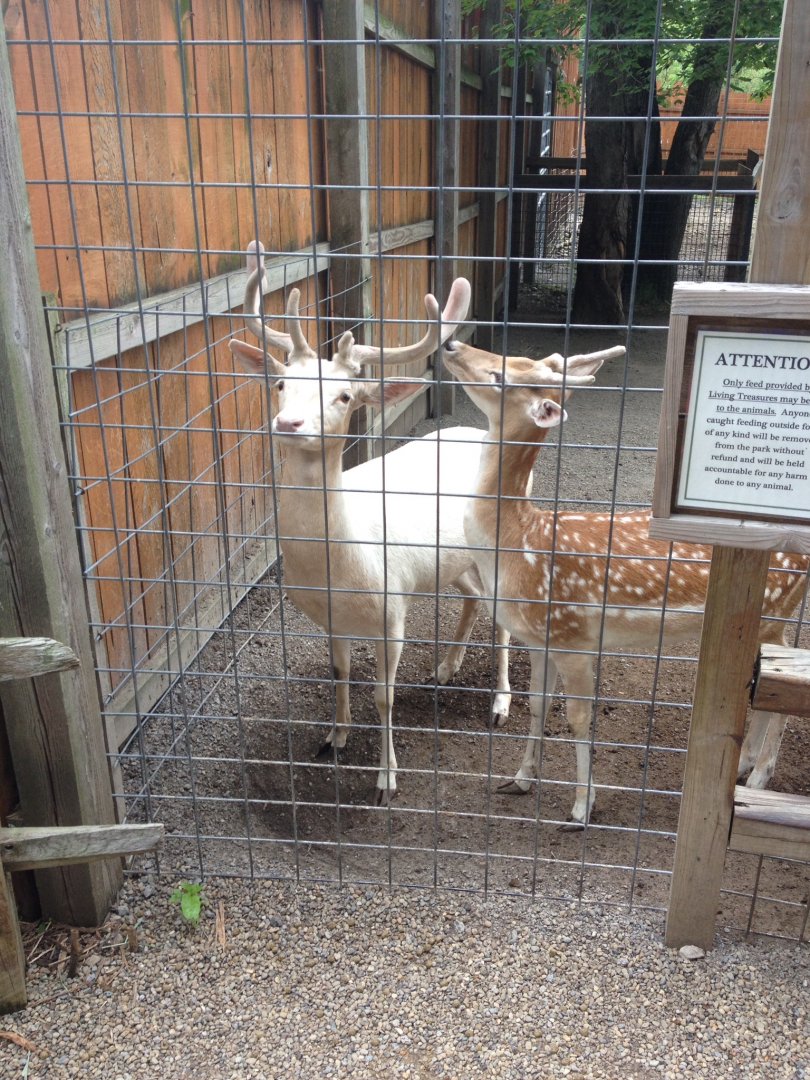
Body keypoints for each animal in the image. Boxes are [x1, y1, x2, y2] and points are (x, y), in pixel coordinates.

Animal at [228, 244, 515, 805]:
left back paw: (500, 703)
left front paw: (386, 780)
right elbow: (339, 672)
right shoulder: (328, 617)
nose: (288, 423)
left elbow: (383, 697)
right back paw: (445, 668)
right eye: (281, 383)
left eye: (343, 396)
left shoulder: (392, 611)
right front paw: (333, 737)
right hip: (454, 560)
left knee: (508, 617)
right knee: (473, 595)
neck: (341, 569)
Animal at [441, 338, 809, 826]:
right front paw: (518, 779)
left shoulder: (573, 636)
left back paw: (760, 777)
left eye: (503, 375)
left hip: (774, 608)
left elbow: (578, 717)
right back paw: (747, 765)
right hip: (773, 617)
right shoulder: (538, 639)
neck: (518, 543)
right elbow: (536, 703)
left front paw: (582, 806)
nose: (452, 343)